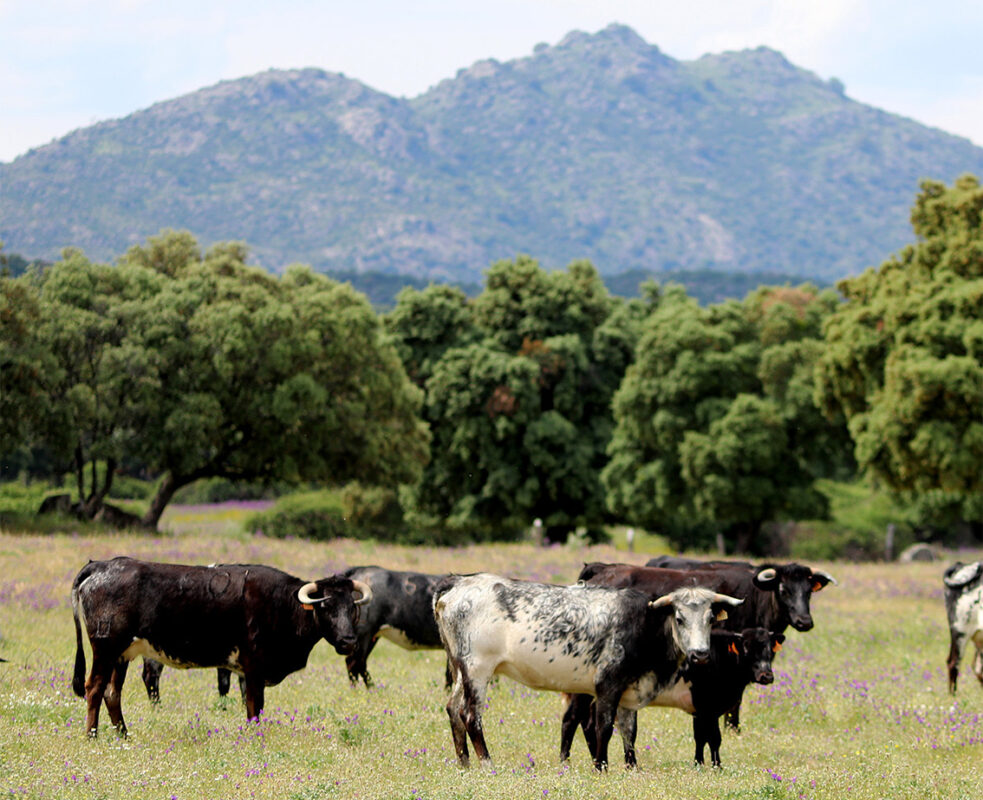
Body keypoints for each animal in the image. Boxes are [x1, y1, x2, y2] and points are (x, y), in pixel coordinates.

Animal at [71, 556, 372, 736]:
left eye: (352, 607)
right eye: (326, 606)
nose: (348, 641)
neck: (281, 604)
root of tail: (102, 565)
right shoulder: (253, 668)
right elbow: (254, 706)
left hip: (121, 655)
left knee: (112, 693)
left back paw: (123, 735)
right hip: (105, 648)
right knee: (94, 688)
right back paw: (92, 736)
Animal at [434, 568, 740, 768]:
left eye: (711, 618)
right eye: (679, 618)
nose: (700, 654)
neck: (644, 625)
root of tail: (458, 582)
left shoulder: (628, 691)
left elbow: (629, 731)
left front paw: (632, 766)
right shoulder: (608, 684)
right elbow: (604, 727)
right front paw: (601, 766)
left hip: (461, 669)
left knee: (453, 708)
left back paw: (464, 763)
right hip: (477, 669)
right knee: (470, 715)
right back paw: (486, 763)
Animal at [560, 624, 784, 768]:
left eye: (769, 649)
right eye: (746, 648)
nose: (767, 676)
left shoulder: (699, 710)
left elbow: (700, 737)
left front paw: (699, 763)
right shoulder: (708, 707)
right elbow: (714, 738)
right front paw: (717, 766)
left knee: (587, 723)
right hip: (582, 694)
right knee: (571, 720)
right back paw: (565, 761)